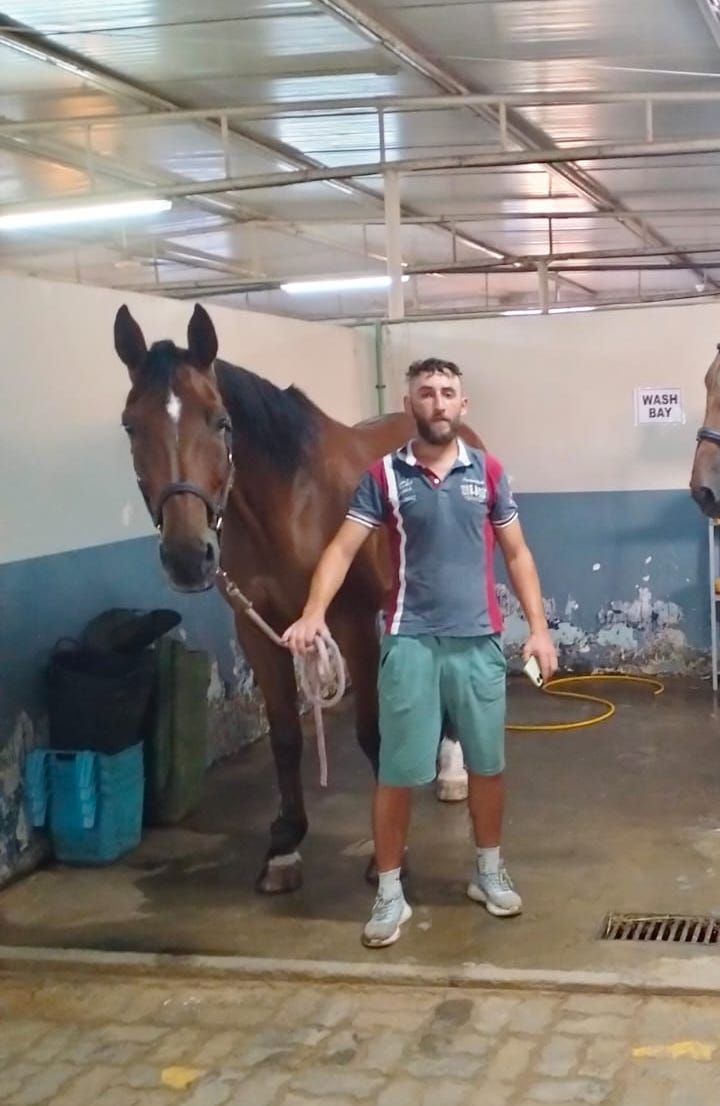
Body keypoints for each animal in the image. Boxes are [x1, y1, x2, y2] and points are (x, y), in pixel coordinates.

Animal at [114, 303, 484, 893]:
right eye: (131, 425)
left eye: (220, 422)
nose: (189, 555)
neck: (292, 501)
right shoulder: (257, 628)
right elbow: (286, 735)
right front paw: (284, 846)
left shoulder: (351, 621)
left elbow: (370, 730)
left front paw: (388, 851)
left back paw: (452, 772)